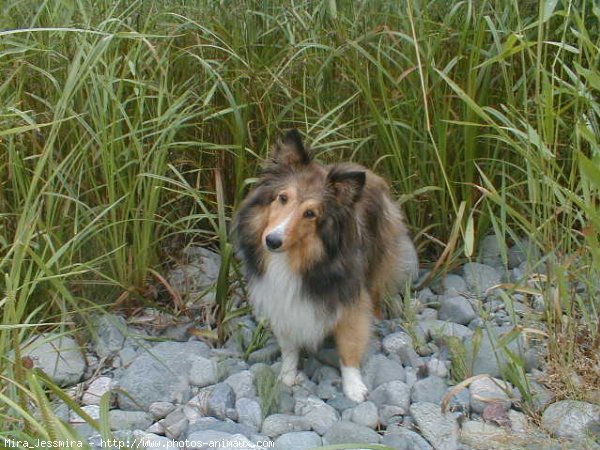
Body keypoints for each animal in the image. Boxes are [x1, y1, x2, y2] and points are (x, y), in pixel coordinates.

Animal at [234, 129, 418, 400]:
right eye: (282, 198)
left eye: (311, 213)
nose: (272, 241)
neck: (296, 259)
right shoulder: (280, 299)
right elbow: (289, 346)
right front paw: (287, 376)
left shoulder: (348, 298)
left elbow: (349, 345)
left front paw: (354, 388)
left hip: (379, 256)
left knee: (376, 288)